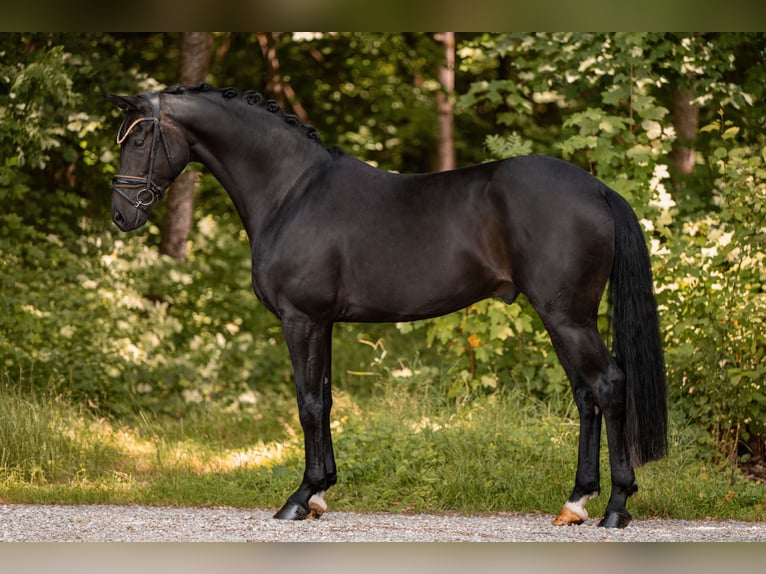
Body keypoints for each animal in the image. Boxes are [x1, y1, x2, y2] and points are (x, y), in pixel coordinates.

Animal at [106, 83, 667, 529]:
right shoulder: (325, 323)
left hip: (567, 317)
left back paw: (615, 507)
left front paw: (299, 498)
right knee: (586, 396)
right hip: (565, 319)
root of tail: (597, 189)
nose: (121, 215)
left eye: (139, 140)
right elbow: (326, 400)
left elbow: (308, 405)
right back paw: (576, 502)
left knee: (607, 387)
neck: (291, 192)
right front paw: (321, 493)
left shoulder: (301, 320)